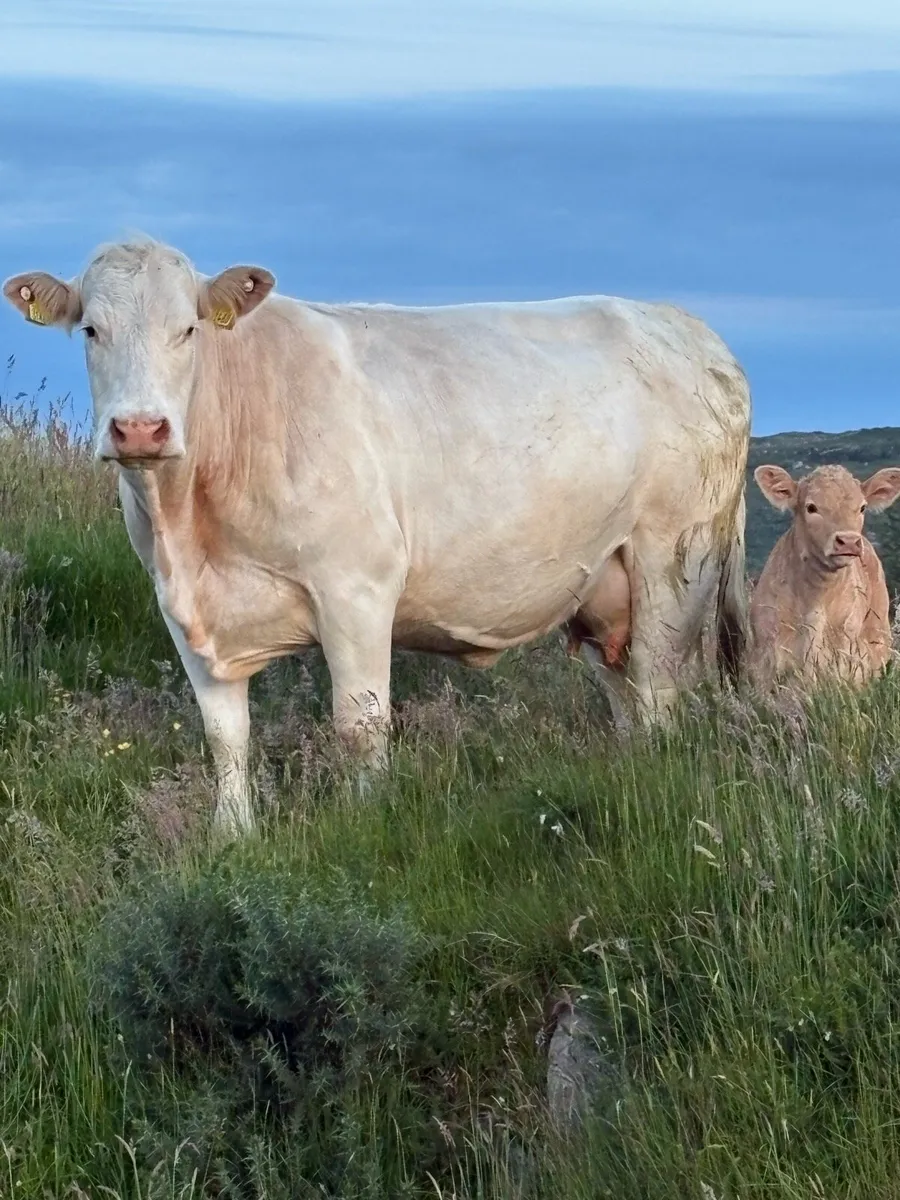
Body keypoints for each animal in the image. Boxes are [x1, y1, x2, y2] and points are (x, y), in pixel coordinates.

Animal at [4, 240, 750, 833]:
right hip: (604, 585)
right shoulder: (181, 606)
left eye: (188, 329)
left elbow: (358, 726)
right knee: (627, 696)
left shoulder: (356, 587)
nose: (140, 429)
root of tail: (688, 327)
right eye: (91, 330)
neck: (190, 527)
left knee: (657, 685)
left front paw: (365, 820)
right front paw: (233, 835)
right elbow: (225, 735)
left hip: (672, 557)